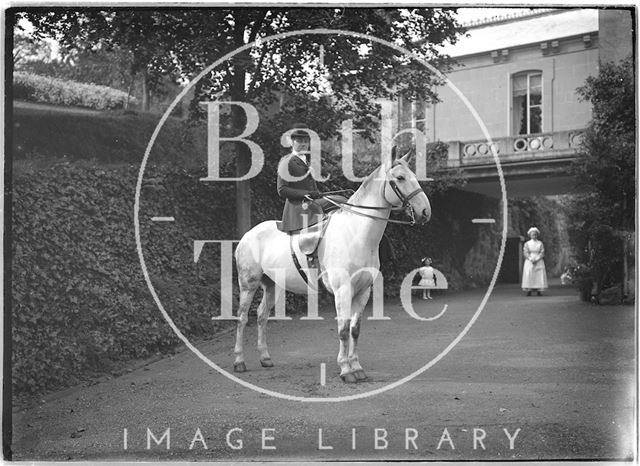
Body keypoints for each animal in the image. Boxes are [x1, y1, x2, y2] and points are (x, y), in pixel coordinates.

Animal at [230, 152, 430, 382]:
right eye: (400, 178)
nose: (425, 211)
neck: (356, 233)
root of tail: (247, 235)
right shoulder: (343, 290)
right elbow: (343, 330)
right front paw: (346, 370)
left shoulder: (363, 291)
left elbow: (355, 329)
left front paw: (357, 367)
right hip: (249, 284)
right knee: (242, 318)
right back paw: (239, 361)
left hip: (272, 285)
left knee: (262, 315)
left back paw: (265, 358)